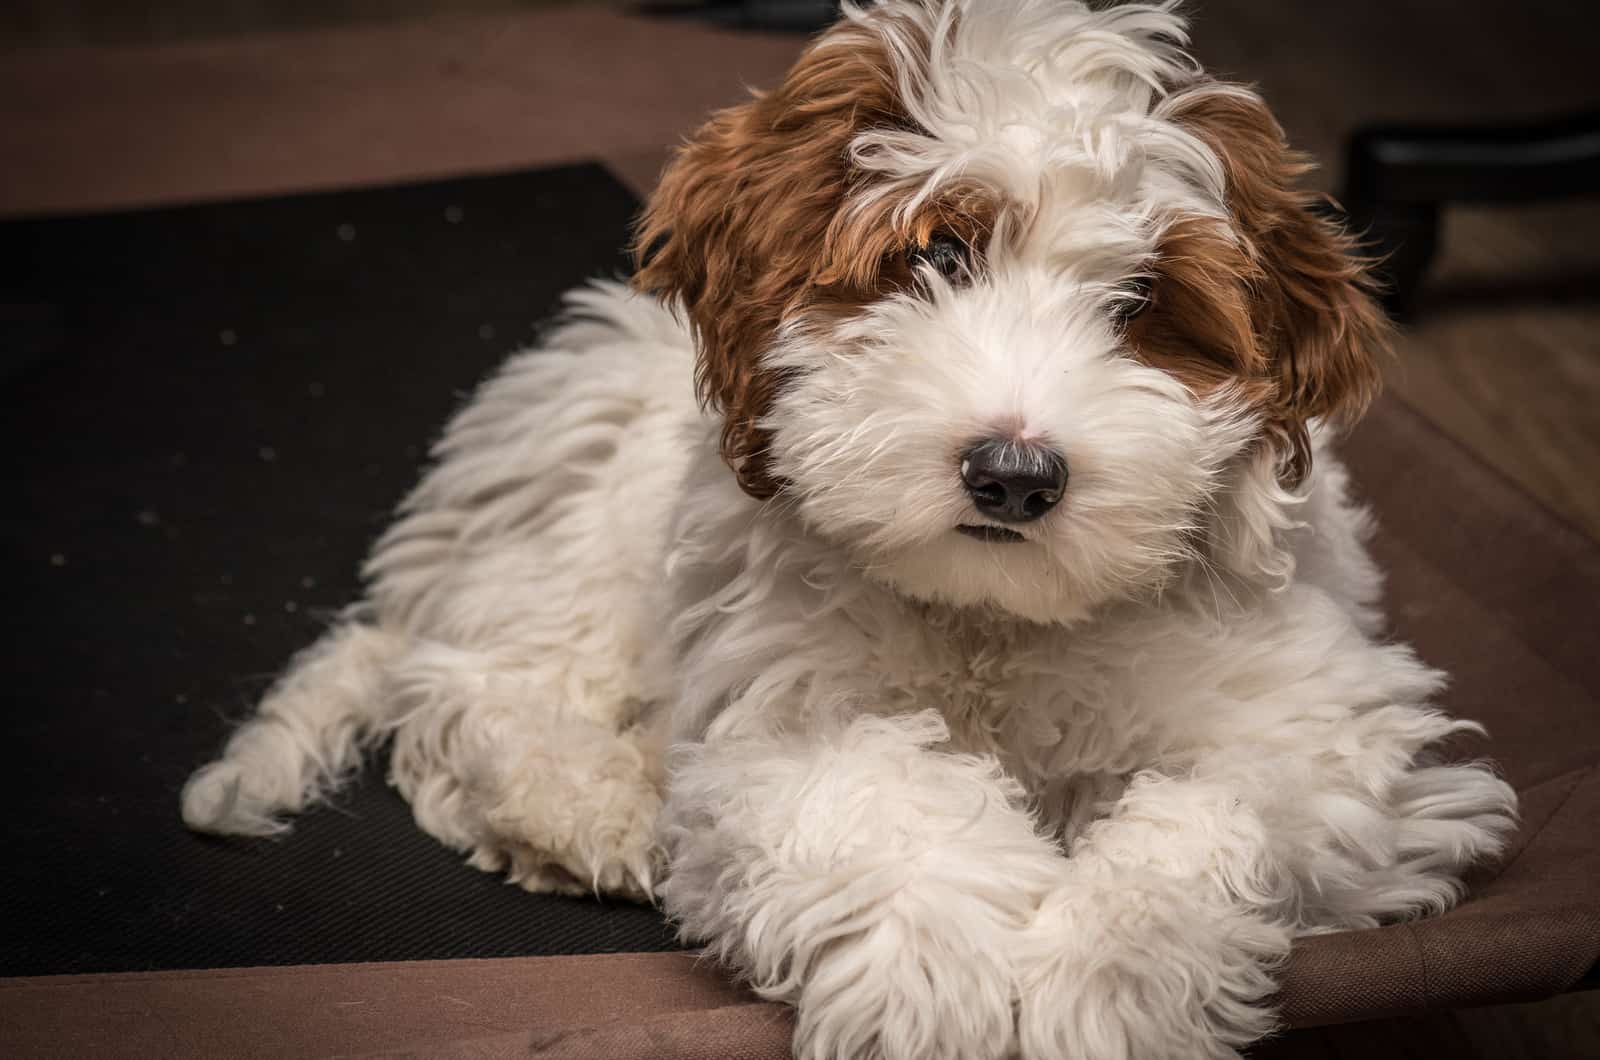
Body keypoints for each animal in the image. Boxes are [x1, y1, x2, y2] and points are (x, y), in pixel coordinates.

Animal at [181, 4, 1516, 1056]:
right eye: (938, 252)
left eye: (1143, 301)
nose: (1014, 475)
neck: (994, 623)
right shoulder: (770, 719)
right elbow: (874, 798)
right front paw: (943, 992)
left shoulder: (1334, 744)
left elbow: (1212, 813)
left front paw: (1105, 981)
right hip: (586, 538)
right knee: (460, 685)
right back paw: (593, 808)